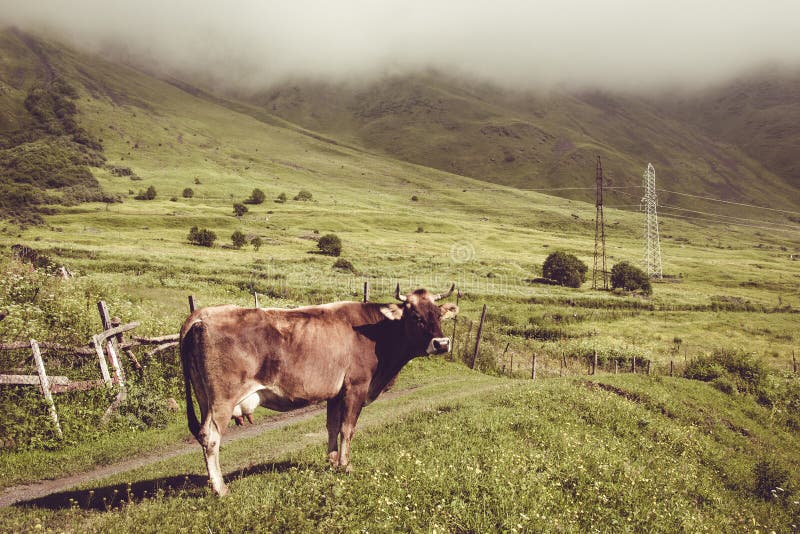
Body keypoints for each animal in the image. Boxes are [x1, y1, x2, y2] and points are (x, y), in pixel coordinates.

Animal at [180, 284, 456, 498]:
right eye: (415, 316)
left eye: (438, 315)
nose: (442, 343)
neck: (376, 333)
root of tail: (203, 313)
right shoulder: (356, 386)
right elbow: (347, 428)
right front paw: (345, 465)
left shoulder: (335, 392)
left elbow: (332, 426)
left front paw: (332, 461)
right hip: (222, 401)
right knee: (211, 437)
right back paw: (220, 489)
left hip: (204, 398)